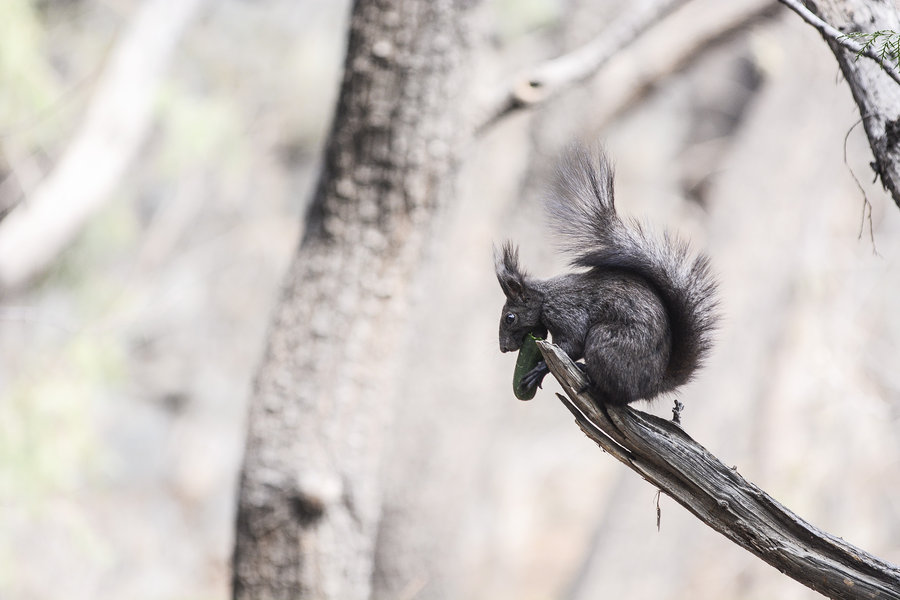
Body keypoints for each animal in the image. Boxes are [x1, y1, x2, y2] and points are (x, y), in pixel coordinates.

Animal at [492, 145, 716, 406]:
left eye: (510, 318)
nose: (503, 348)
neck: (545, 298)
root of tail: (650, 387)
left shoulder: (567, 313)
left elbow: (573, 343)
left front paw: (539, 371)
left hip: (605, 342)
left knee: (615, 395)